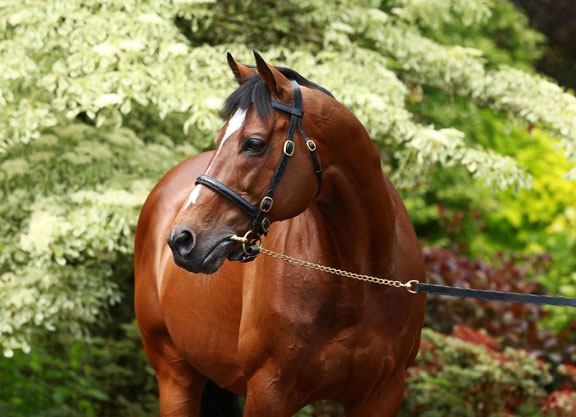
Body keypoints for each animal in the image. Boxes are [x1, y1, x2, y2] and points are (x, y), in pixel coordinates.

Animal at [133, 52, 426, 416]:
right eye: (219, 138)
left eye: (254, 144)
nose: (182, 239)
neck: (360, 282)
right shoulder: (268, 392)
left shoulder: (382, 395)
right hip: (175, 375)